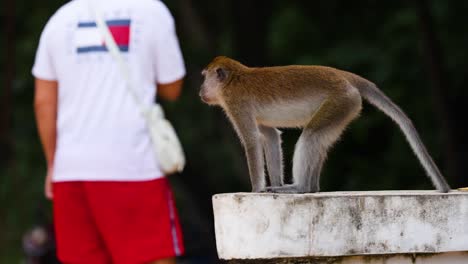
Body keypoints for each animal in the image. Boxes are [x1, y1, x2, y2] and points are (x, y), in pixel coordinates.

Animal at [199, 55, 452, 193]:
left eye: (204, 76)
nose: (200, 89)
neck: (233, 78)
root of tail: (345, 76)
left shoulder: (235, 103)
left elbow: (251, 141)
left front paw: (255, 189)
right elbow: (269, 136)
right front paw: (274, 184)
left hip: (340, 101)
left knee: (311, 136)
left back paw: (301, 188)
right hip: (345, 107)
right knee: (317, 139)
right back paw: (309, 188)